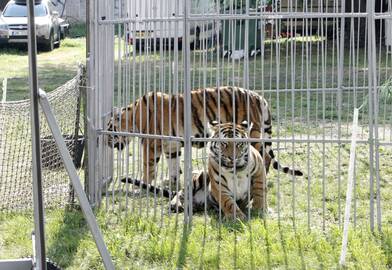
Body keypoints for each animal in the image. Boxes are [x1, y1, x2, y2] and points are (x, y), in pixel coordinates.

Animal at [108, 85, 304, 185]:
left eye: (109, 130)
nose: (106, 143)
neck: (133, 117)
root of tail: (259, 97)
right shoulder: (171, 146)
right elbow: (173, 166)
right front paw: (171, 182)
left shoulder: (151, 144)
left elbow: (148, 167)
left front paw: (144, 185)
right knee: (267, 157)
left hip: (252, 134)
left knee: (263, 157)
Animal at [121, 121, 268, 220]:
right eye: (224, 144)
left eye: (239, 144)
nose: (232, 157)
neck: (235, 169)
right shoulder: (218, 184)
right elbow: (228, 202)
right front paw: (236, 217)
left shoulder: (259, 171)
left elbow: (260, 192)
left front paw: (259, 210)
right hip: (199, 176)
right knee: (180, 193)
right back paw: (177, 205)